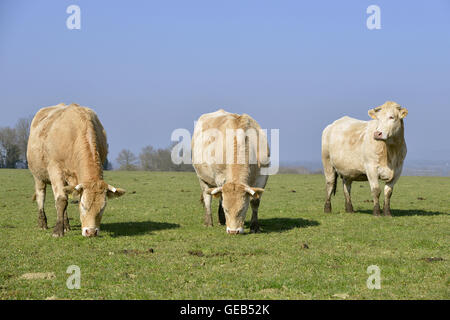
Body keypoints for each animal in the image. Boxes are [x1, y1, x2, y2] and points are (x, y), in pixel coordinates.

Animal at [26, 104, 125, 236]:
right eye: (82, 205)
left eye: (103, 208)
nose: (91, 232)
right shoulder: (55, 170)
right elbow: (61, 200)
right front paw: (57, 231)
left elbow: (64, 200)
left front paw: (63, 226)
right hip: (38, 176)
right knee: (41, 196)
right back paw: (43, 223)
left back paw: (66, 225)